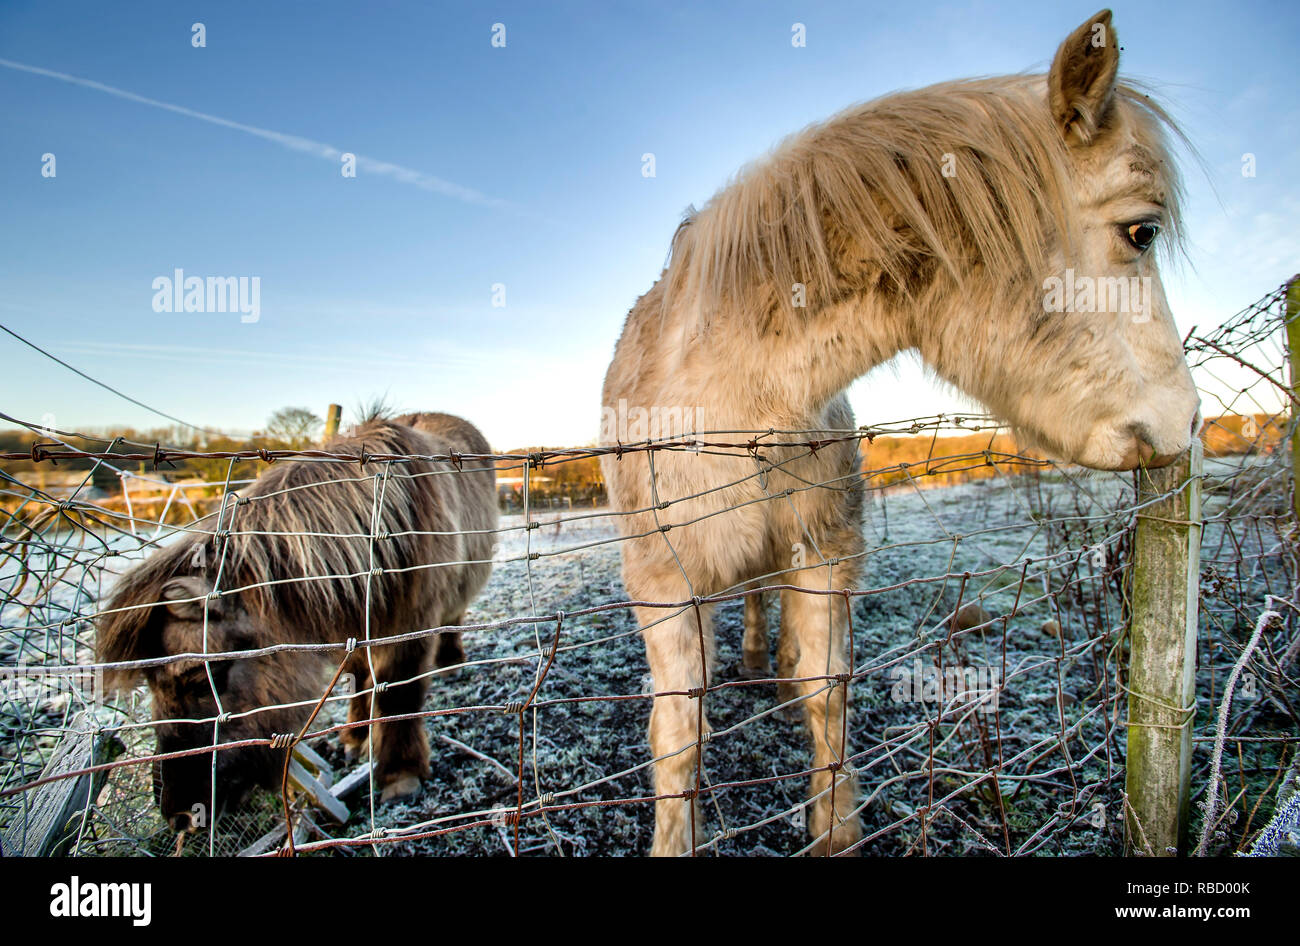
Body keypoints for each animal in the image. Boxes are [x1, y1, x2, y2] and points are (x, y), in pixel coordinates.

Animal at [96, 412, 497, 830]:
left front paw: (400, 775)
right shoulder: (351, 628)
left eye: (205, 679)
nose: (179, 815)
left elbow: (397, 698)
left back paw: (451, 663)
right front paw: (354, 739)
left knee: (454, 618)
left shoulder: (411, 630)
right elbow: (358, 680)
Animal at [600, 10, 1200, 855]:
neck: (734, 407)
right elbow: (677, 736)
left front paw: (835, 825)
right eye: (1141, 233)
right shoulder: (663, 589)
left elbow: (826, 696)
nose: (1188, 418)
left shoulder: (826, 556)